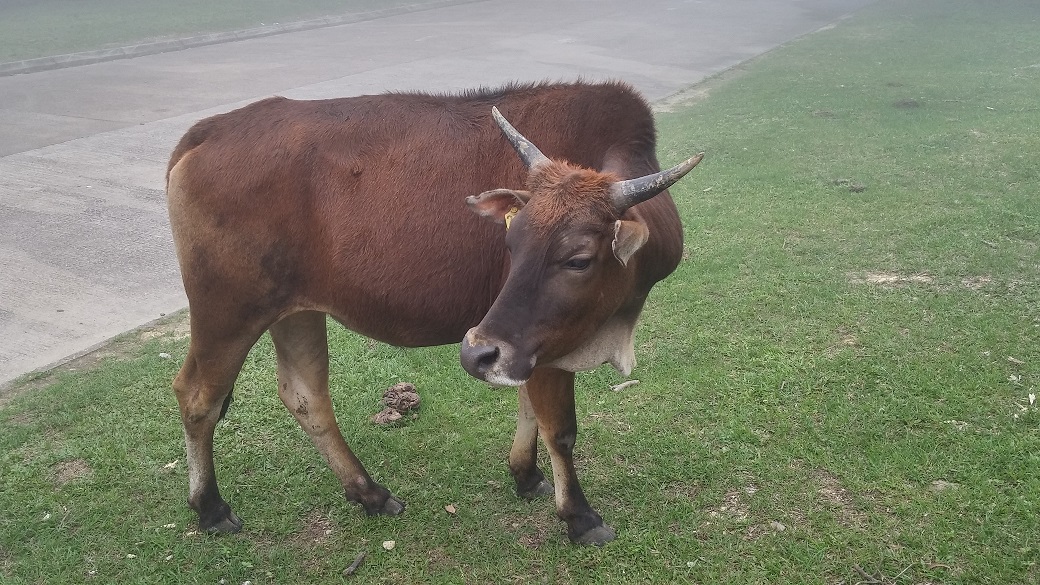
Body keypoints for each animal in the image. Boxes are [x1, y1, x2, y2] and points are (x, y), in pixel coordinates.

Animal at [166, 79, 703, 545]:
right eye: (511, 242)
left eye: (578, 259)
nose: (471, 353)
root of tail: (211, 128)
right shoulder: (544, 342)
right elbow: (561, 430)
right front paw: (580, 517)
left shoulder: (522, 343)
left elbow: (528, 404)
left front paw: (525, 475)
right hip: (227, 310)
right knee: (197, 397)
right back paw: (210, 507)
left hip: (293, 311)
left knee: (305, 396)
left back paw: (369, 493)